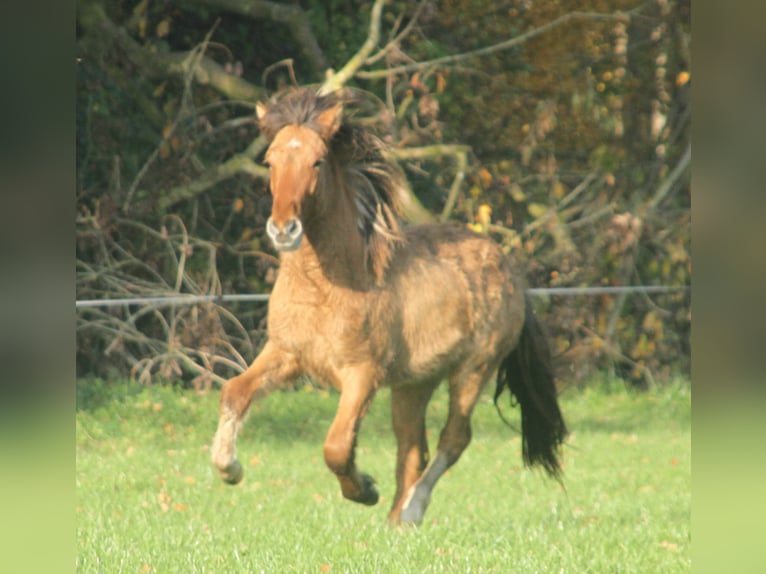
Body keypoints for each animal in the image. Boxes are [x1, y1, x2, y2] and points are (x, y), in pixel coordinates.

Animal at [211, 87, 567, 525]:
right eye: (270, 160)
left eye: (317, 161)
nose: (283, 230)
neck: (325, 287)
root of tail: (509, 269)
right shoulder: (286, 353)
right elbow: (235, 392)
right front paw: (229, 468)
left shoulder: (362, 375)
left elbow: (337, 446)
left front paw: (364, 489)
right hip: (414, 384)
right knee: (413, 448)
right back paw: (396, 522)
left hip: (473, 369)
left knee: (453, 439)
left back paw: (411, 509)